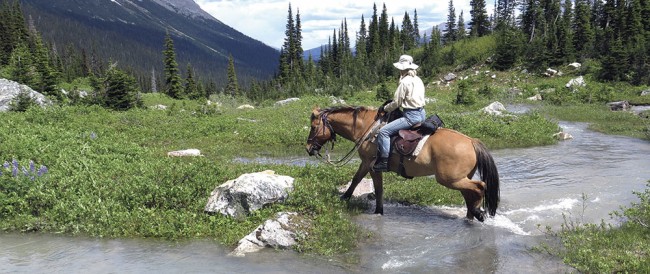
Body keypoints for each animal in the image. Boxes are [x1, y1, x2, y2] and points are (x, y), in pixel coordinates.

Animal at [302, 106, 496, 222]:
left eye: (313, 127)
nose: (308, 148)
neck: (367, 129)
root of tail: (471, 141)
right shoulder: (365, 163)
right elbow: (356, 179)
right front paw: (344, 197)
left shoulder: (372, 165)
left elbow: (377, 188)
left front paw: (378, 211)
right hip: (459, 178)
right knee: (469, 193)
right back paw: (470, 216)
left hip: (449, 179)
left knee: (480, 186)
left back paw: (478, 212)